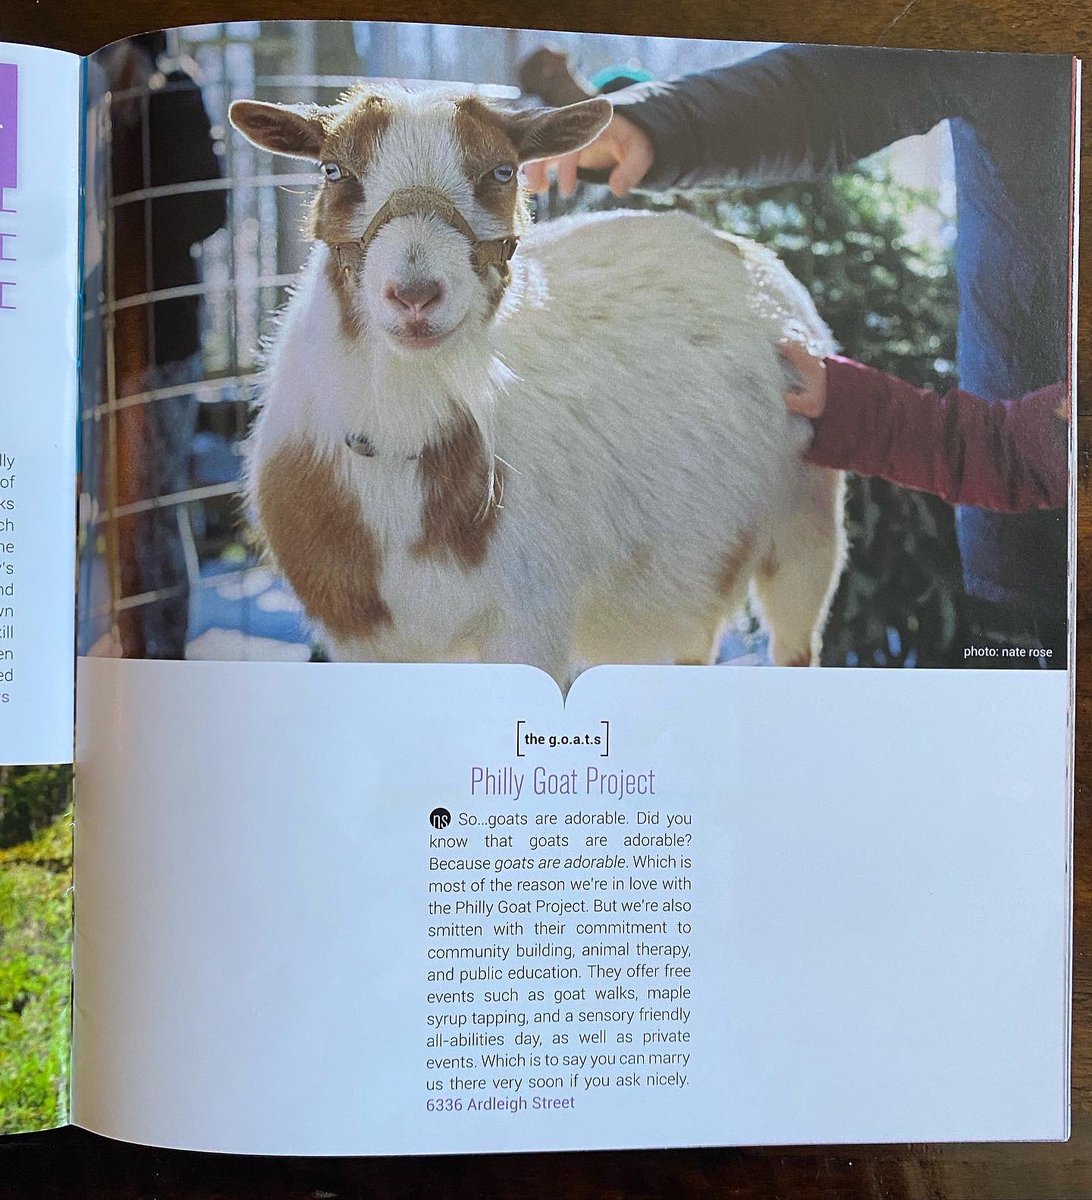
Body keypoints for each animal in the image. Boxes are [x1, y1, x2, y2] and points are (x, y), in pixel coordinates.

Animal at [229, 87, 846, 688]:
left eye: (503, 171)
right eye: (333, 170)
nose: (415, 295)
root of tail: (746, 249)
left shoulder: (529, 616)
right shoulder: (360, 633)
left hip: (804, 528)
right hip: (699, 561)